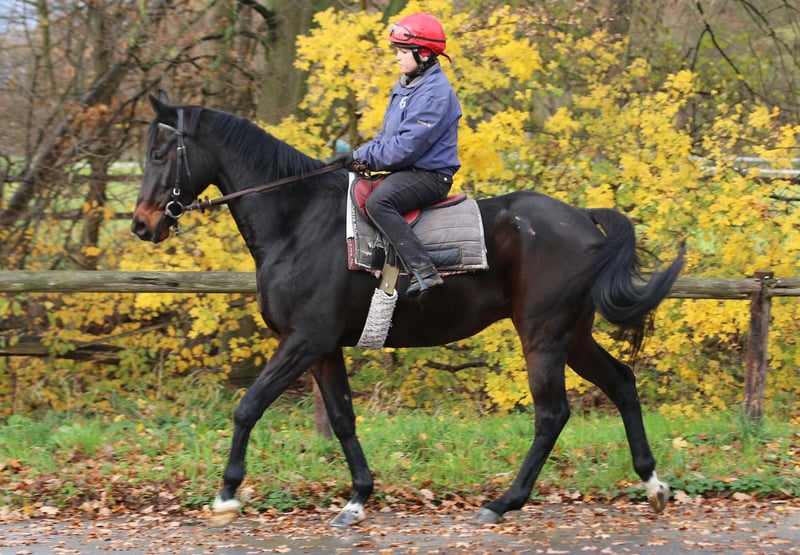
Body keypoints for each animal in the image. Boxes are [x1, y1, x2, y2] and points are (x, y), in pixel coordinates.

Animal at [132, 91, 684, 527]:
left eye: (161, 153)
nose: (142, 225)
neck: (299, 222)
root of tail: (582, 218)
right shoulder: (323, 348)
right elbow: (342, 418)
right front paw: (357, 498)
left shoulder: (304, 340)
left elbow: (248, 406)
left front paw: (227, 495)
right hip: (573, 335)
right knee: (621, 382)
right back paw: (653, 483)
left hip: (543, 335)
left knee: (552, 414)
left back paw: (503, 502)